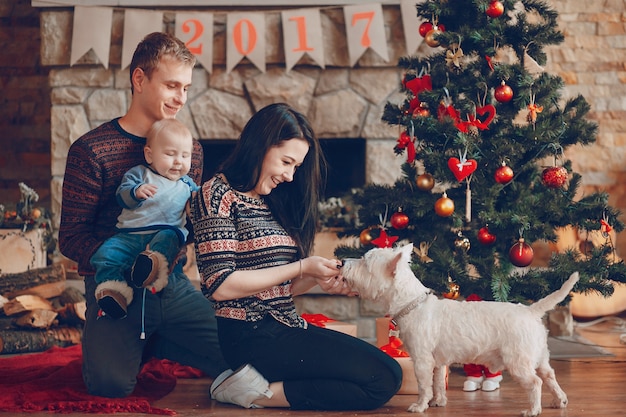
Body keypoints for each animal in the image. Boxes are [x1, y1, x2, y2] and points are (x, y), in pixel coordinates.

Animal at [338, 242, 576, 414]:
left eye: (365, 262)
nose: (341, 262)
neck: (412, 302)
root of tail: (530, 311)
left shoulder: (422, 359)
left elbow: (424, 385)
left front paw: (419, 406)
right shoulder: (438, 361)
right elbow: (437, 383)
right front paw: (438, 402)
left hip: (518, 361)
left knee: (536, 382)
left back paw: (533, 410)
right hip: (540, 357)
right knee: (550, 376)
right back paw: (560, 400)